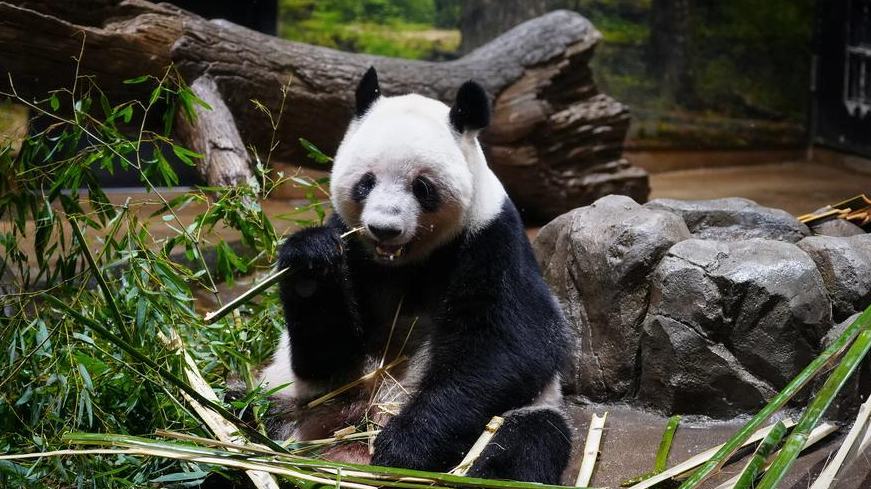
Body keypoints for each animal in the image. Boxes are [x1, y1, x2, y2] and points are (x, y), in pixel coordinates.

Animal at [257, 67, 572, 484]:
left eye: (422, 187)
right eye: (366, 182)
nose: (383, 229)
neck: (404, 264)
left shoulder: (492, 241)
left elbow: (510, 345)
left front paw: (404, 447)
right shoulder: (354, 249)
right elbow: (325, 356)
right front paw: (311, 261)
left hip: (523, 413)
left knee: (524, 444)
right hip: (290, 399)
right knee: (241, 407)